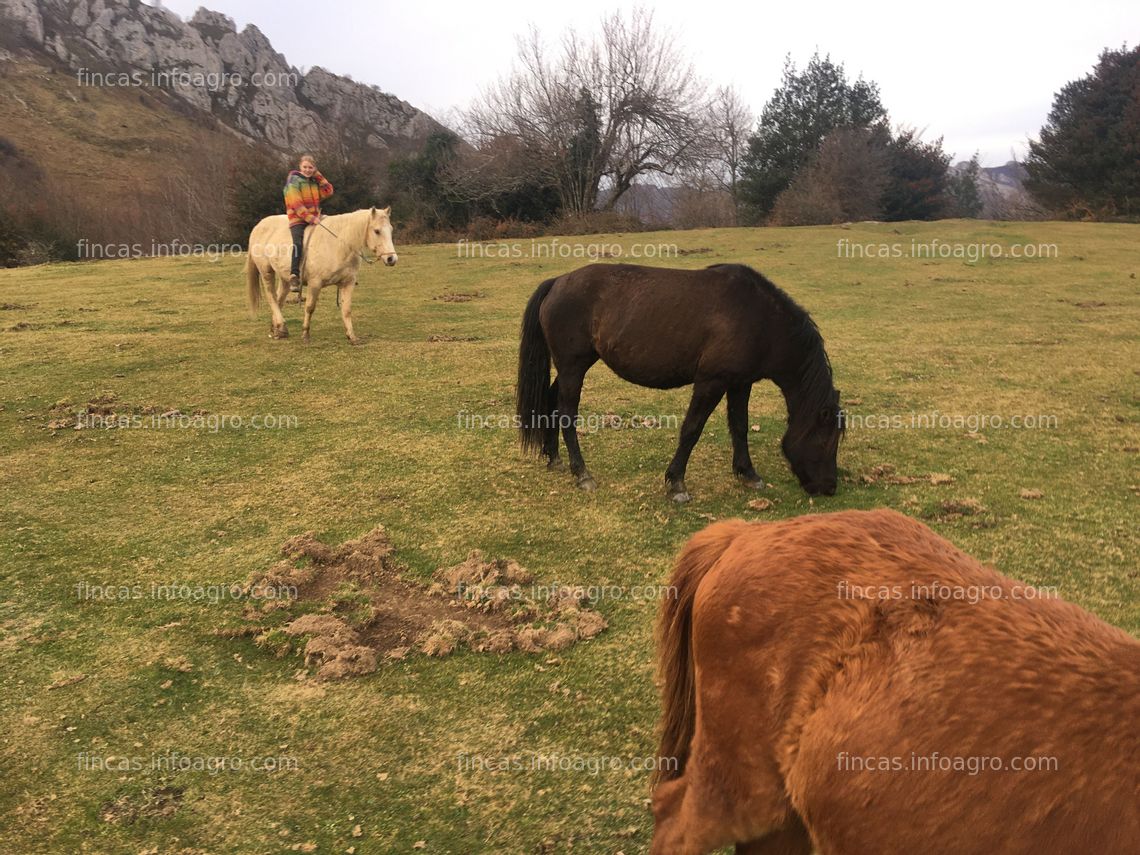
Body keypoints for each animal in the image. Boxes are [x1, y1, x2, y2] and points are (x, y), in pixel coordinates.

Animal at [242, 207, 399, 344]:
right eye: (377, 231)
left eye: (391, 229)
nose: (391, 259)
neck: (339, 244)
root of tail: (258, 226)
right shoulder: (315, 283)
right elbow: (310, 307)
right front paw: (305, 334)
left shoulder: (348, 283)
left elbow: (347, 309)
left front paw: (352, 336)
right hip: (266, 271)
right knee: (272, 297)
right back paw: (282, 326)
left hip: (285, 277)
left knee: (279, 299)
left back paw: (277, 330)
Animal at [517, 263, 848, 501]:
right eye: (826, 439)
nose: (829, 486)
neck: (760, 319)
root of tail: (558, 281)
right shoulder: (711, 382)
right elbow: (692, 429)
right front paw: (676, 483)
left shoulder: (740, 383)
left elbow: (740, 427)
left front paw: (748, 473)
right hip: (573, 367)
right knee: (567, 413)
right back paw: (582, 473)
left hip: (572, 367)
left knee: (552, 401)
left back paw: (554, 459)